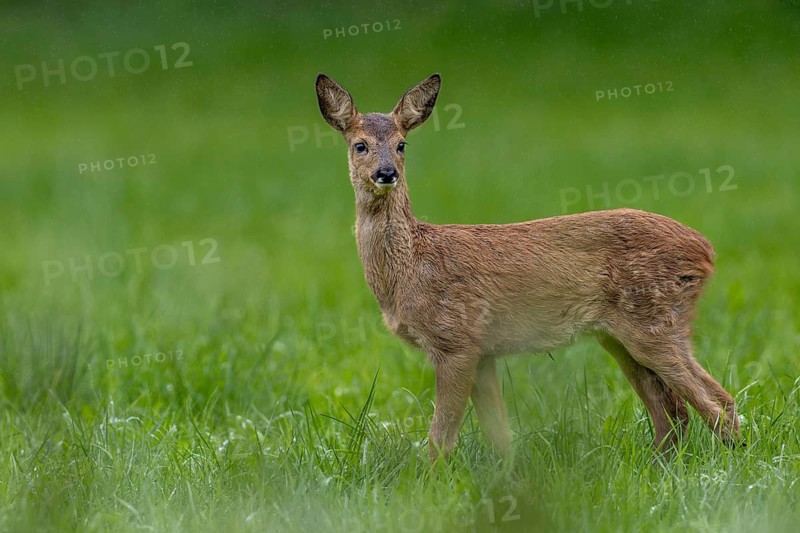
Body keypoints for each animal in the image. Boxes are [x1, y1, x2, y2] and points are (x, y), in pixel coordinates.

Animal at [315, 72, 741, 462]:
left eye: (402, 144)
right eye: (359, 145)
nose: (386, 173)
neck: (410, 267)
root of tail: (706, 251)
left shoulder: (457, 339)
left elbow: (441, 437)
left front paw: (430, 480)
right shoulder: (484, 352)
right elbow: (499, 433)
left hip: (653, 322)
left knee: (715, 401)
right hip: (619, 336)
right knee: (674, 413)